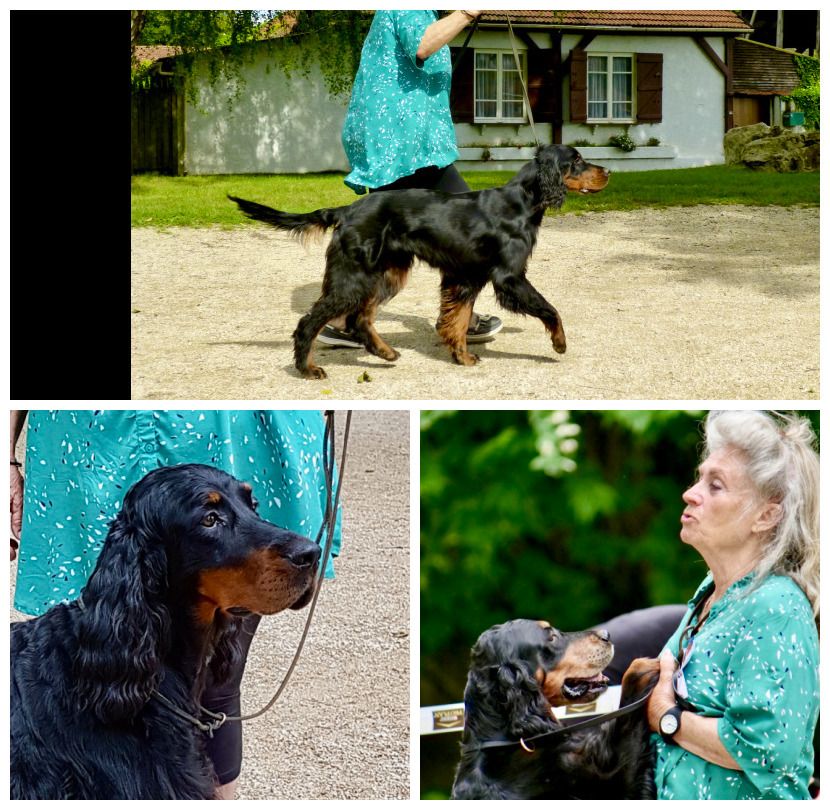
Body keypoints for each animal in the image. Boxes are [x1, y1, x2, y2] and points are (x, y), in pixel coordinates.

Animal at [231, 144, 608, 378]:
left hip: (386, 273)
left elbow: (458, 320)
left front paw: (461, 355)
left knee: (359, 319)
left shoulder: (465, 276)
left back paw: (384, 352)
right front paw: (559, 342)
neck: (523, 202)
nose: (606, 171)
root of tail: (347, 210)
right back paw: (307, 369)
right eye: (576, 160)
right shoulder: (509, 277)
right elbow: (550, 308)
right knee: (312, 321)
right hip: (355, 276)